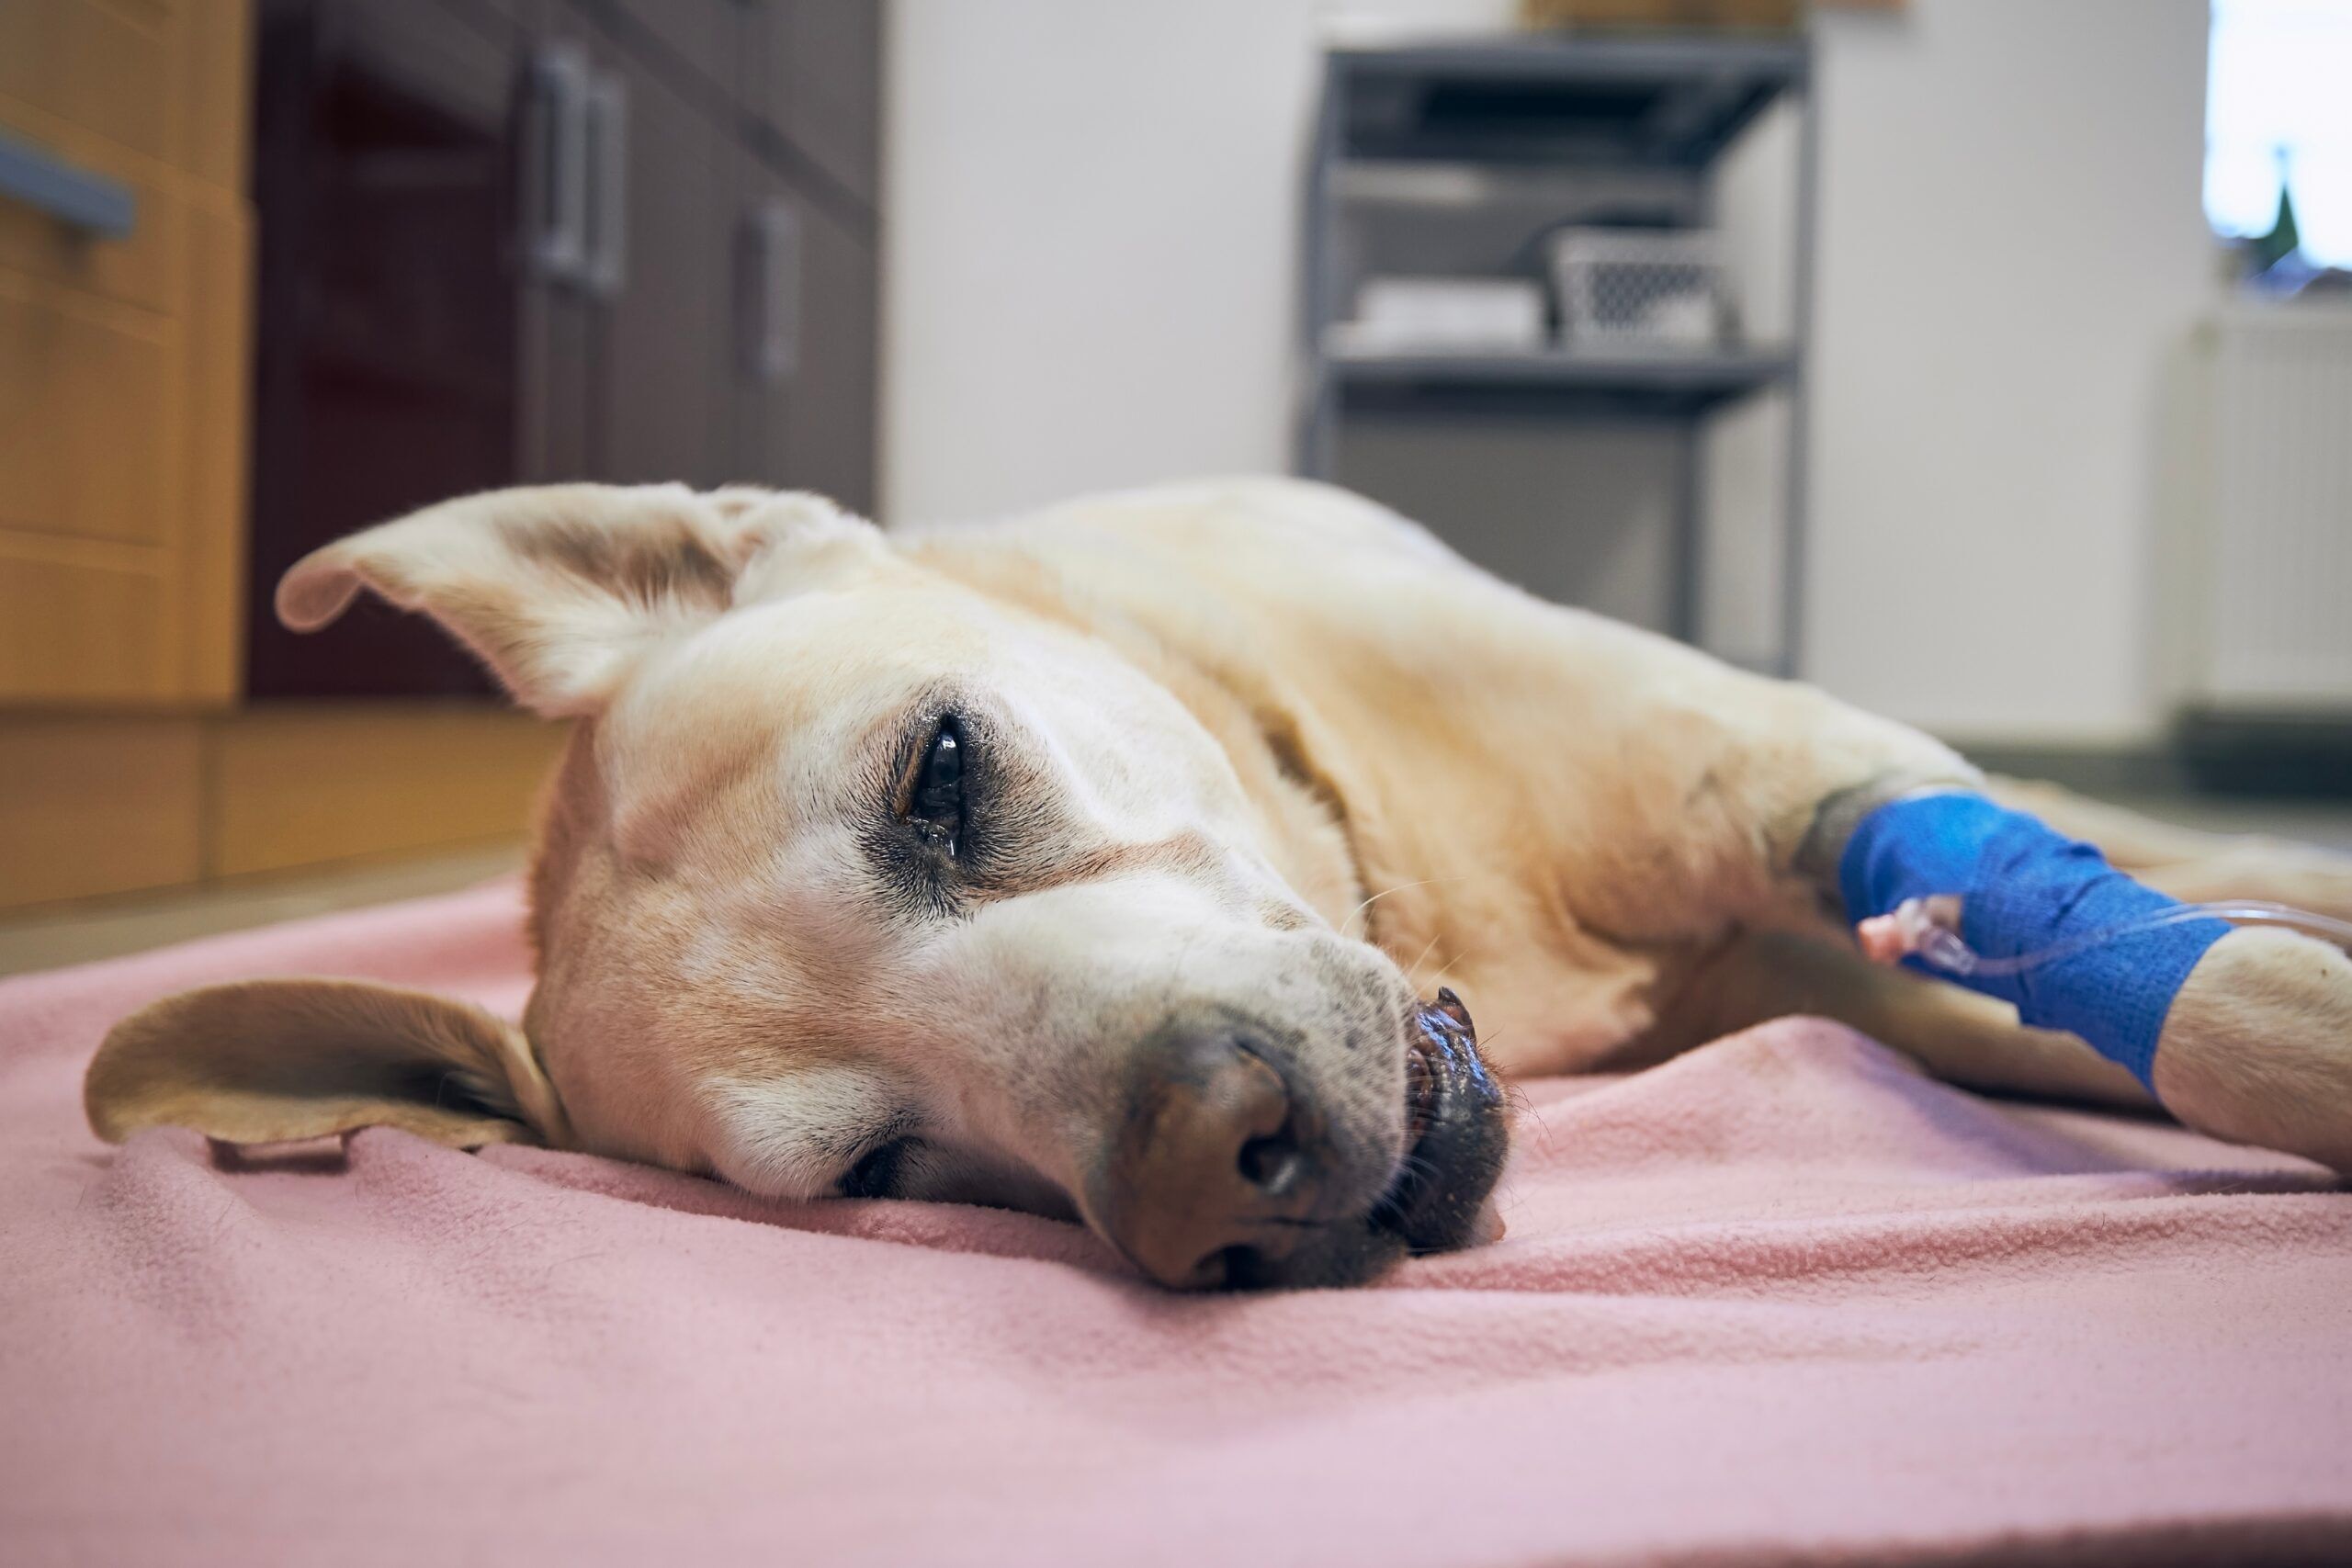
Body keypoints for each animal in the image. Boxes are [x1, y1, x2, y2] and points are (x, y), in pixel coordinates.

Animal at [83, 479, 2352, 1288]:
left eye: (940, 771)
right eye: (879, 1170)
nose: (1209, 1155)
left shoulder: (1805, 786)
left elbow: (2215, 992)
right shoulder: (1856, 969)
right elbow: (2171, 999)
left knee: (2177, 849)